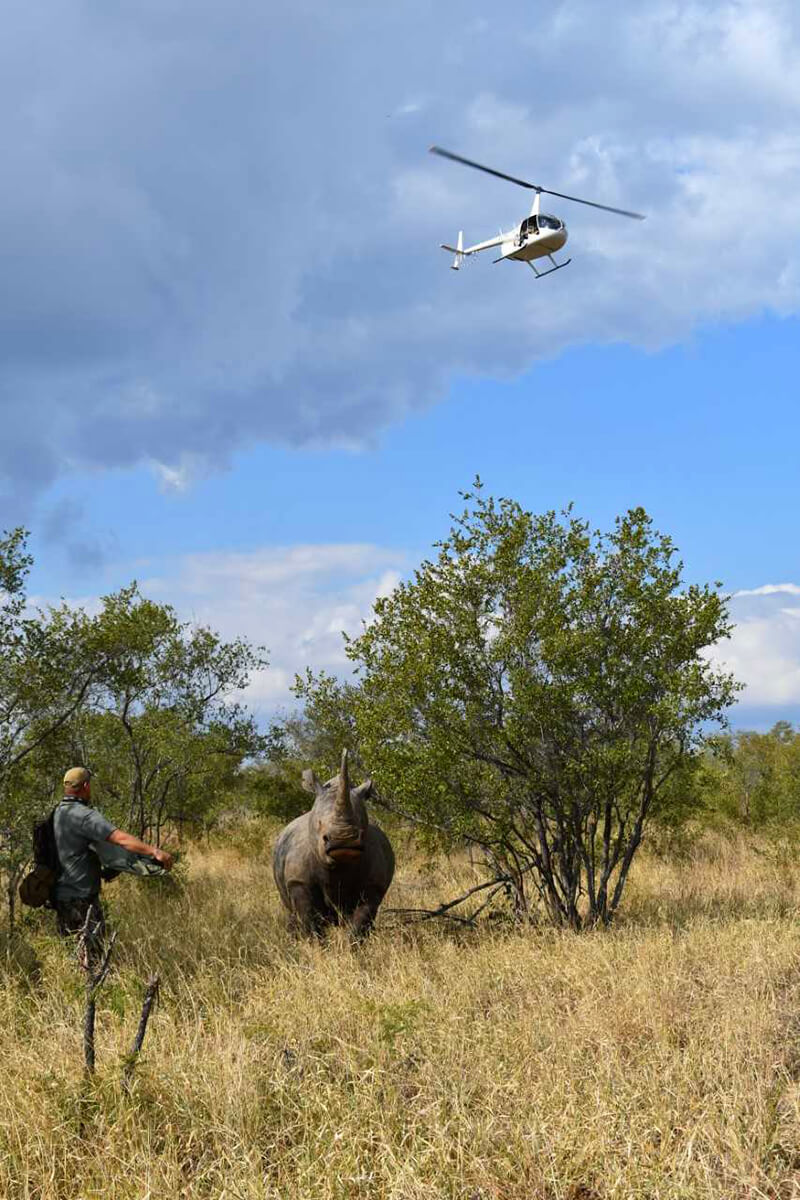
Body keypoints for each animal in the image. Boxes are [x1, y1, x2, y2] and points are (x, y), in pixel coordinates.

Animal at [273, 748, 395, 936]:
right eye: (319, 824)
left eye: (361, 822)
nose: (343, 839)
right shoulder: (298, 880)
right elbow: (309, 920)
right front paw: (313, 943)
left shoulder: (374, 884)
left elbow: (361, 920)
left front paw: (353, 943)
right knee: (292, 912)